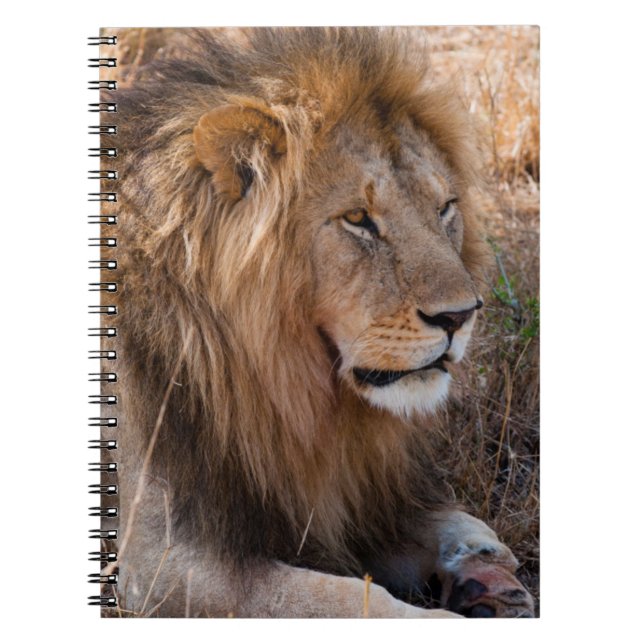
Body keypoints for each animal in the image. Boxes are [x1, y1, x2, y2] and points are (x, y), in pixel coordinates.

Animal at [99, 27, 535, 617]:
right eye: (357, 219)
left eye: (445, 207)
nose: (460, 316)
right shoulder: (160, 565)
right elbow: (356, 602)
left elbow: (448, 523)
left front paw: (484, 567)